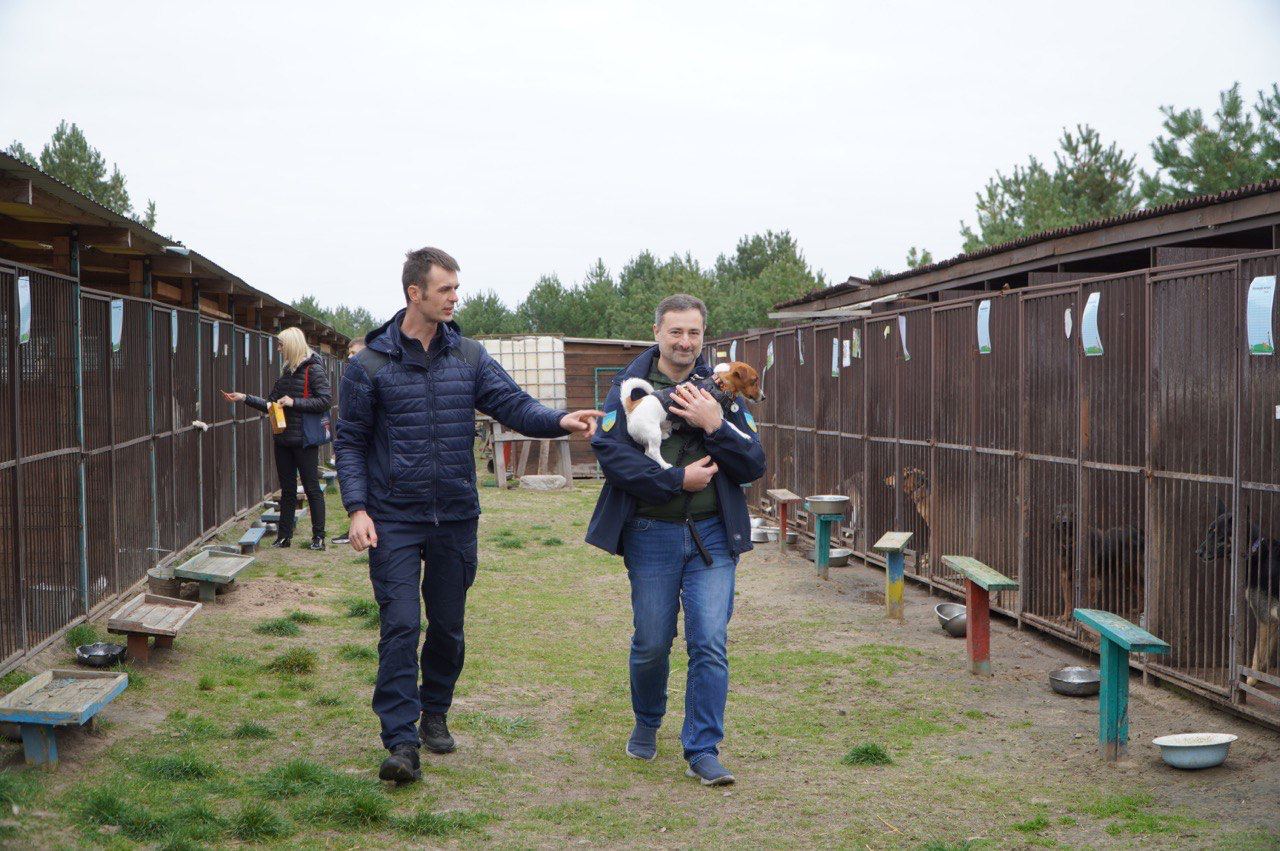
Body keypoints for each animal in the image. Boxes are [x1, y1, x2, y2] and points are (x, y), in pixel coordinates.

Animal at [619, 360, 757, 468]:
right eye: (754, 381)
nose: (762, 397)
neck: (719, 383)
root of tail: (631, 407)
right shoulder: (717, 417)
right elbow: (732, 426)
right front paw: (744, 435)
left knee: (647, 453)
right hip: (653, 433)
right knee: (653, 452)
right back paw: (665, 466)